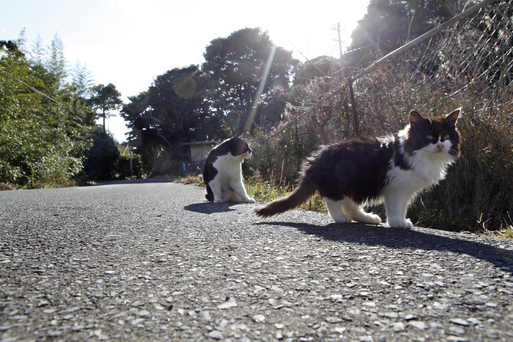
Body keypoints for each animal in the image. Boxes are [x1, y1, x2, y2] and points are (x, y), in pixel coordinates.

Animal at [253, 108, 460, 228]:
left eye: (446, 136)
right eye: (429, 137)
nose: (440, 145)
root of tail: (315, 160)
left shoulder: (407, 189)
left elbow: (403, 207)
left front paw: (402, 220)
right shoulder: (396, 189)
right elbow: (395, 208)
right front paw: (397, 223)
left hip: (355, 186)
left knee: (350, 205)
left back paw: (368, 218)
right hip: (340, 183)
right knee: (333, 201)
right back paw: (341, 218)